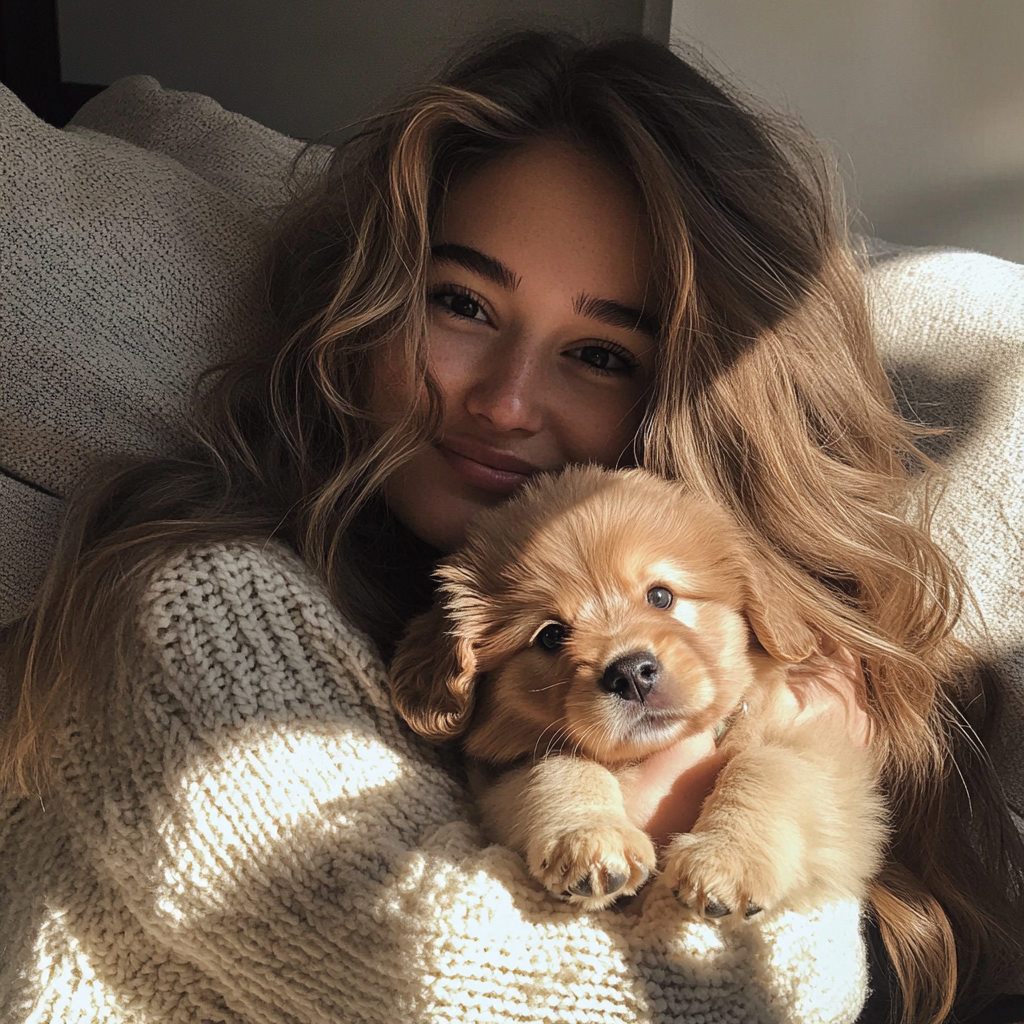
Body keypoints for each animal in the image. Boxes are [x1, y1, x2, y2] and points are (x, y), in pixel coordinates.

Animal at [387, 468, 884, 917]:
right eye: (550, 636)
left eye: (660, 597)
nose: (630, 674)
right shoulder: (497, 780)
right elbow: (559, 765)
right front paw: (590, 837)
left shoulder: (822, 752)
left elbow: (767, 767)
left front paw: (726, 857)